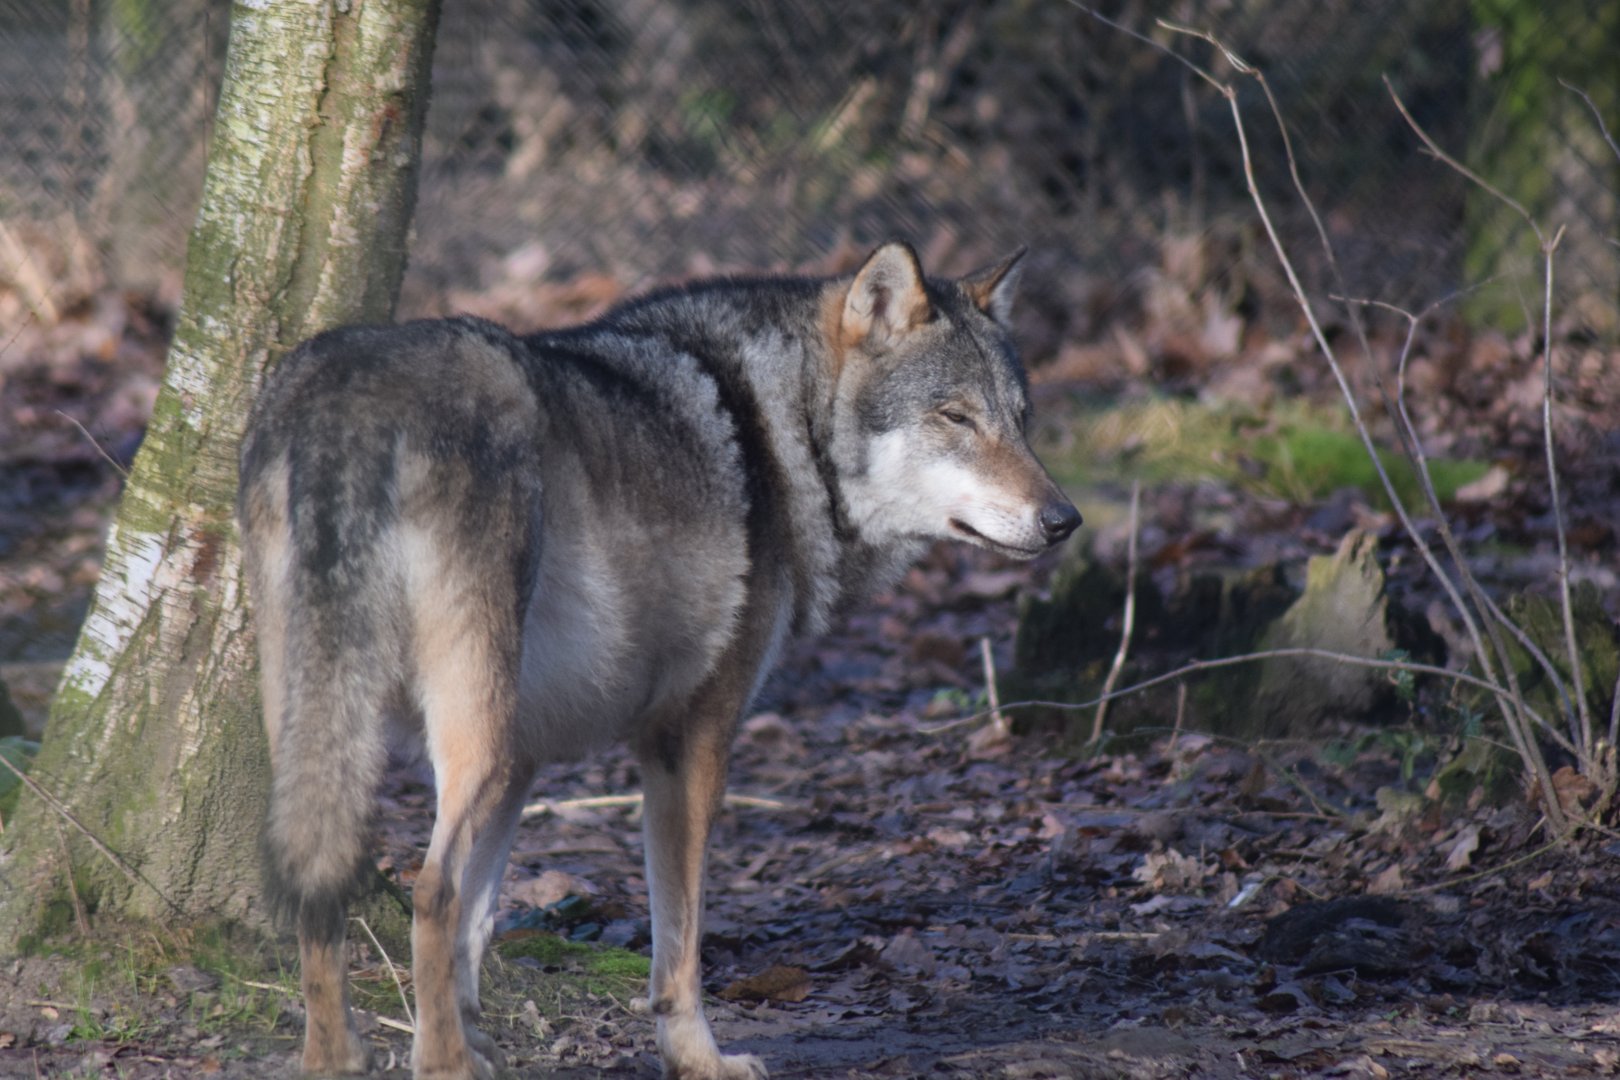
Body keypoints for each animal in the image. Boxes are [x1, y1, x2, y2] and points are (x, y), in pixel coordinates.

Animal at [238, 241, 1080, 1079]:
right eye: (956, 416)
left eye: (1021, 421)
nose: (1064, 520)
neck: (780, 434)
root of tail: (347, 400)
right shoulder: (685, 738)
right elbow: (678, 938)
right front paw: (698, 1057)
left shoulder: (526, 760)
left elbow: (478, 926)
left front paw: (477, 1039)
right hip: (467, 738)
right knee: (429, 890)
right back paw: (440, 1068)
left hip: (347, 734)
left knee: (329, 881)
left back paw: (336, 1056)